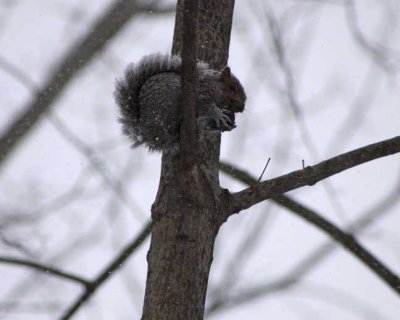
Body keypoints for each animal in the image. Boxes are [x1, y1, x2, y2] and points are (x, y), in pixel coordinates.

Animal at [113, 53, 247, 151]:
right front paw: (218, 114)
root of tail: (149, 133)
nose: (241, 108)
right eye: (232, 88)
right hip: (168, 105)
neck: (215, 86)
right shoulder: (202, 93)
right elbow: (205, 105)